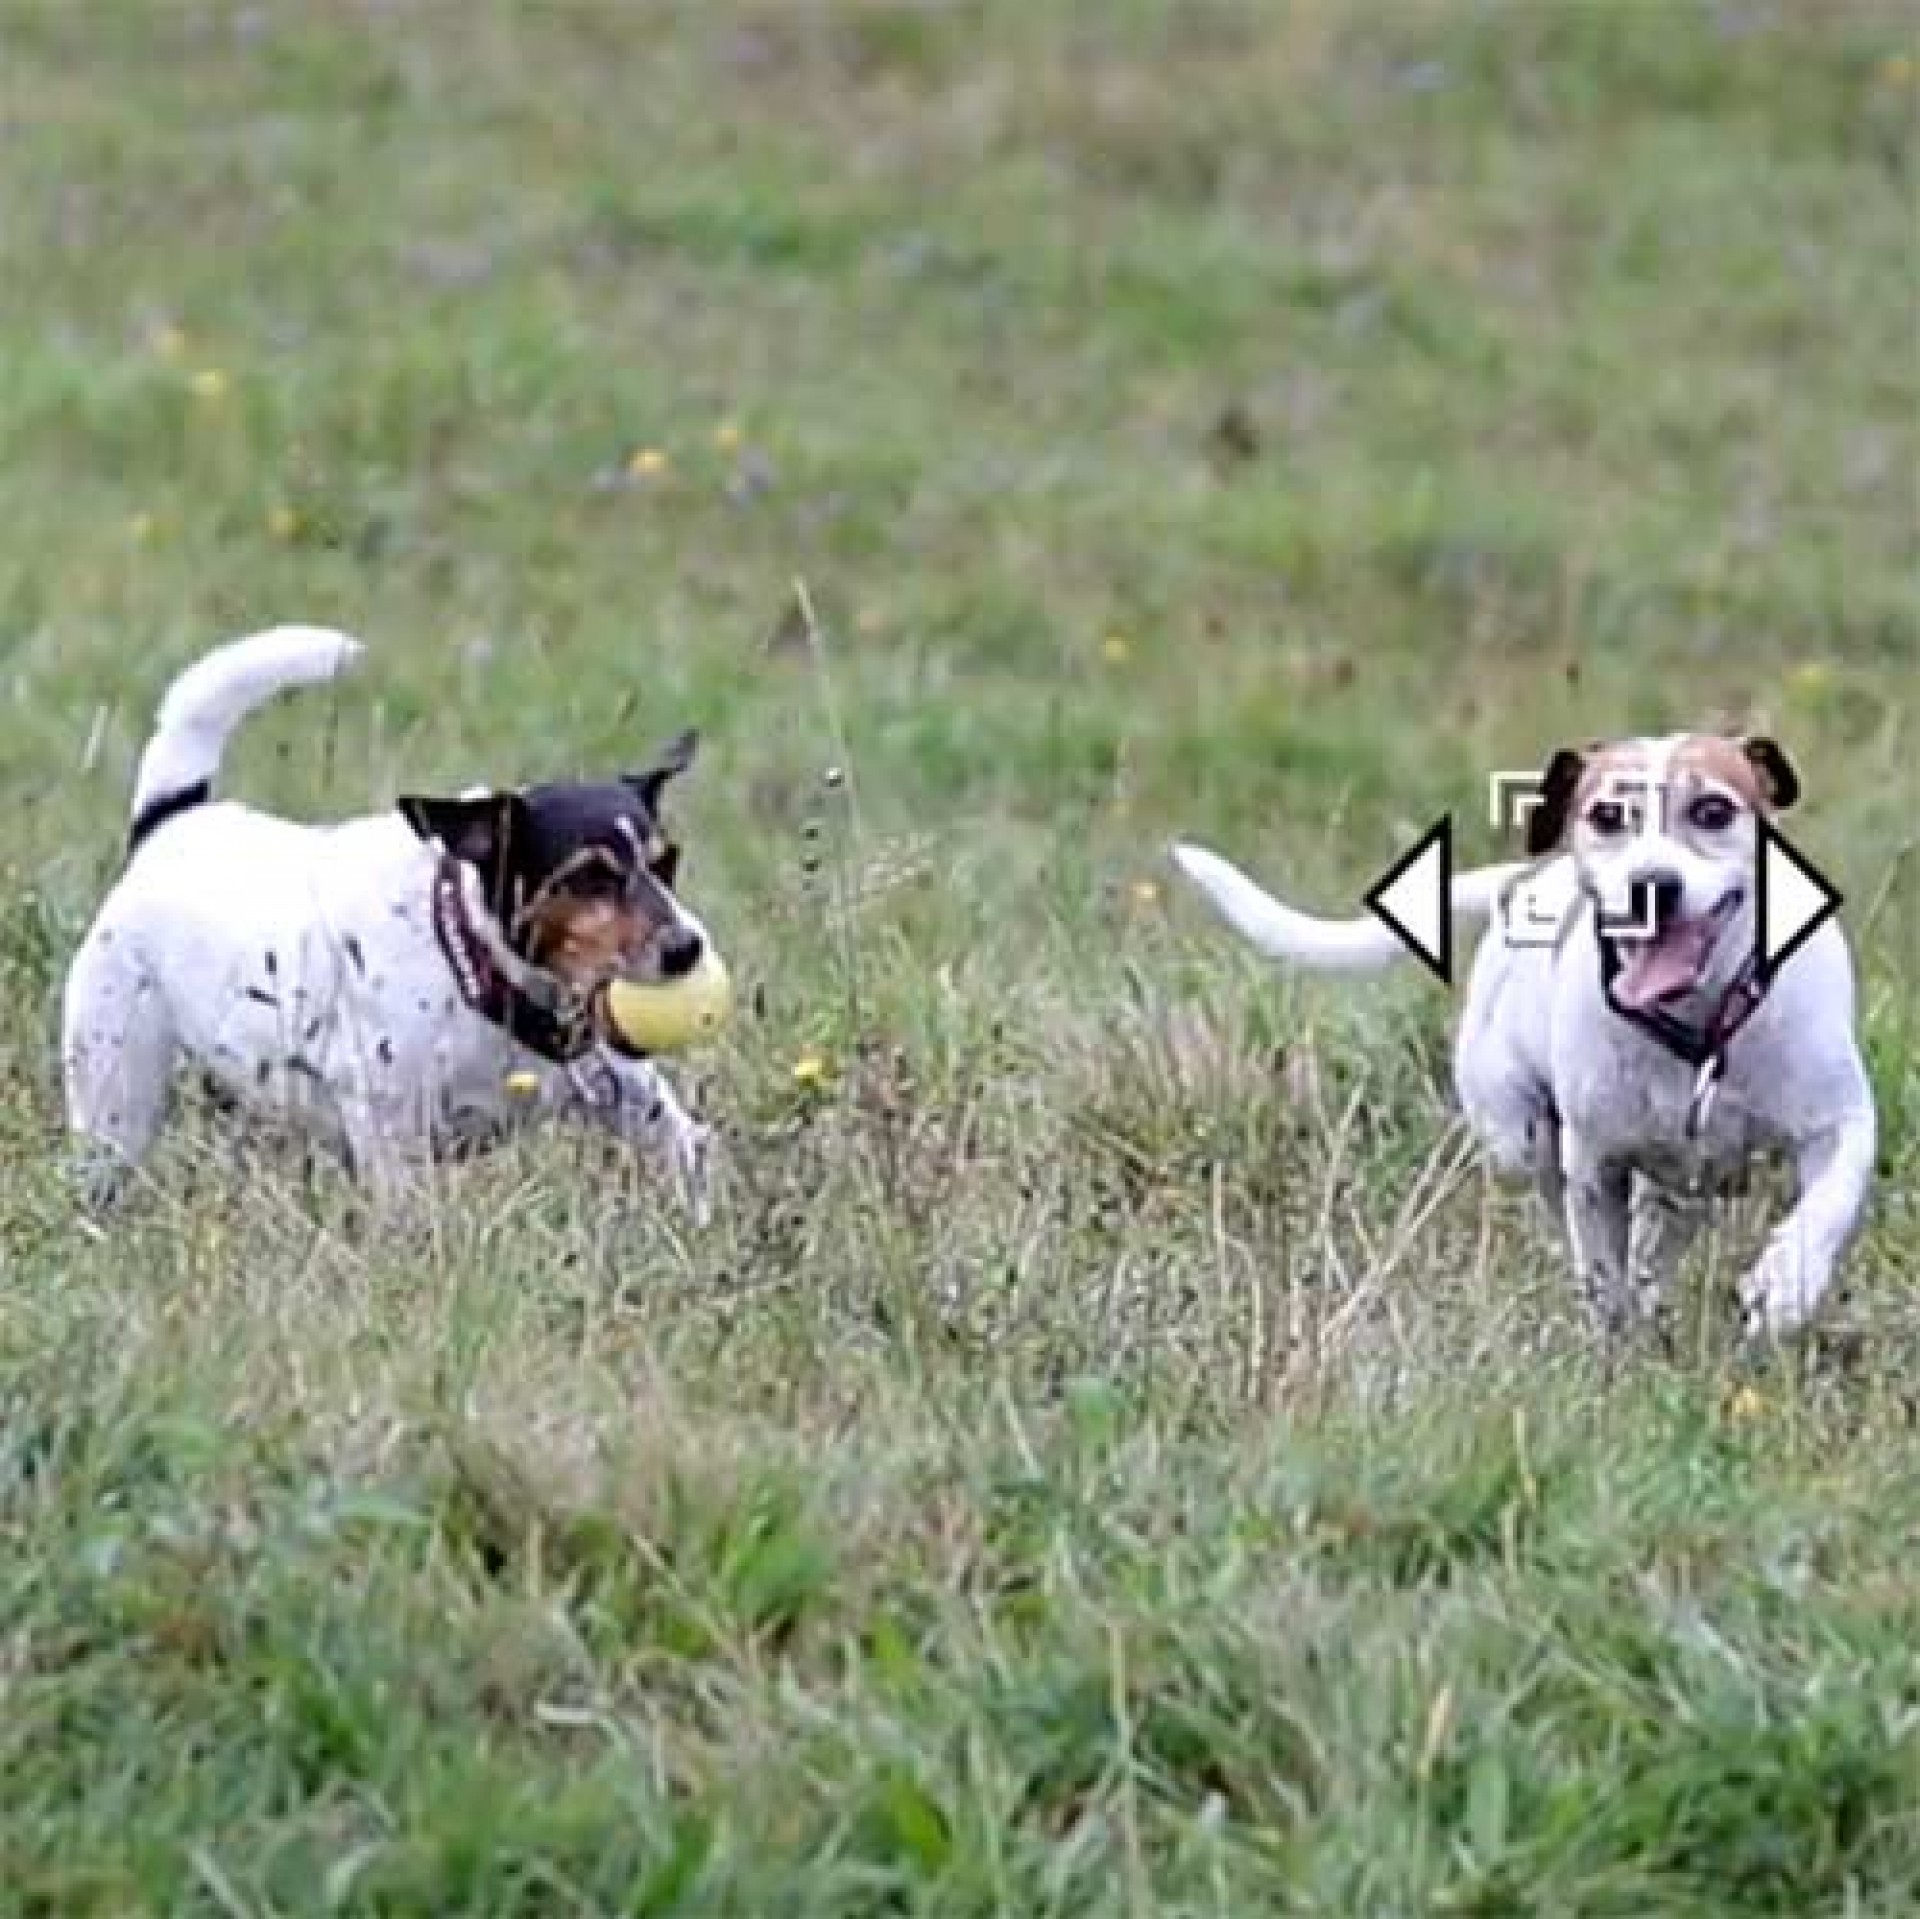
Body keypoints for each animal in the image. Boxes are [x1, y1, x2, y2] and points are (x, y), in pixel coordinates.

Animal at [65, 637, 721, 1214]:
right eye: (588, 878)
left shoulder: (641, 1108)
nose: (687, 949)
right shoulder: (391, 1138)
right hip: (115, 1109)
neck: (473, 963)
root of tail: (171, 826)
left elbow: (688, 1161)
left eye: (668, 862)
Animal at [1167, 726, 1873, 1344]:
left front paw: (1785, 1286)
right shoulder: (1595, 1164)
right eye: (1607, 816)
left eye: (1713, 810)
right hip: (1519, 1140)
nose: (1651, 886)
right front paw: (1618, 1343)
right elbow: (1601, 1264)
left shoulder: (1841, 1119)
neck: (1698, 1026)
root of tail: (1526, 885)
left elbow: (1831, 1202)